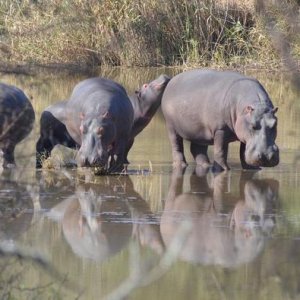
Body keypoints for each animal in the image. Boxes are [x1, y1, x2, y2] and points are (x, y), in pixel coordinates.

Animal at [36, 74, 170, 173]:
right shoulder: (128, 137)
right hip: (46, 139)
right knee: (40, 148)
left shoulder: (129, 137)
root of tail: (45, 109)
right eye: (146, 85)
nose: (163, 75)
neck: (138, 104)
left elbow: (122, 152)